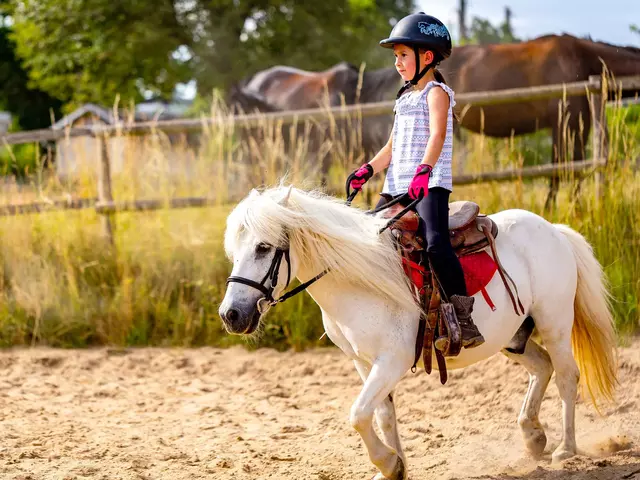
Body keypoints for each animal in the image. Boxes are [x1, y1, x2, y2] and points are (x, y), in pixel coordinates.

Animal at [218, 184, 616, 480]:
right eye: (234, 251)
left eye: (263, 247)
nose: (231, 315)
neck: (358, 279)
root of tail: (553, 230)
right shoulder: (363, 362)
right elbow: (381, 415)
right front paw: (396, 467)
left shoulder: (391, 362)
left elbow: (358, 414)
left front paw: (388, 462)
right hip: (512, 337)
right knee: (542, 367)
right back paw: (533, 436)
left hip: (554, 322)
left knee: (566, 375)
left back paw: (565, 449)